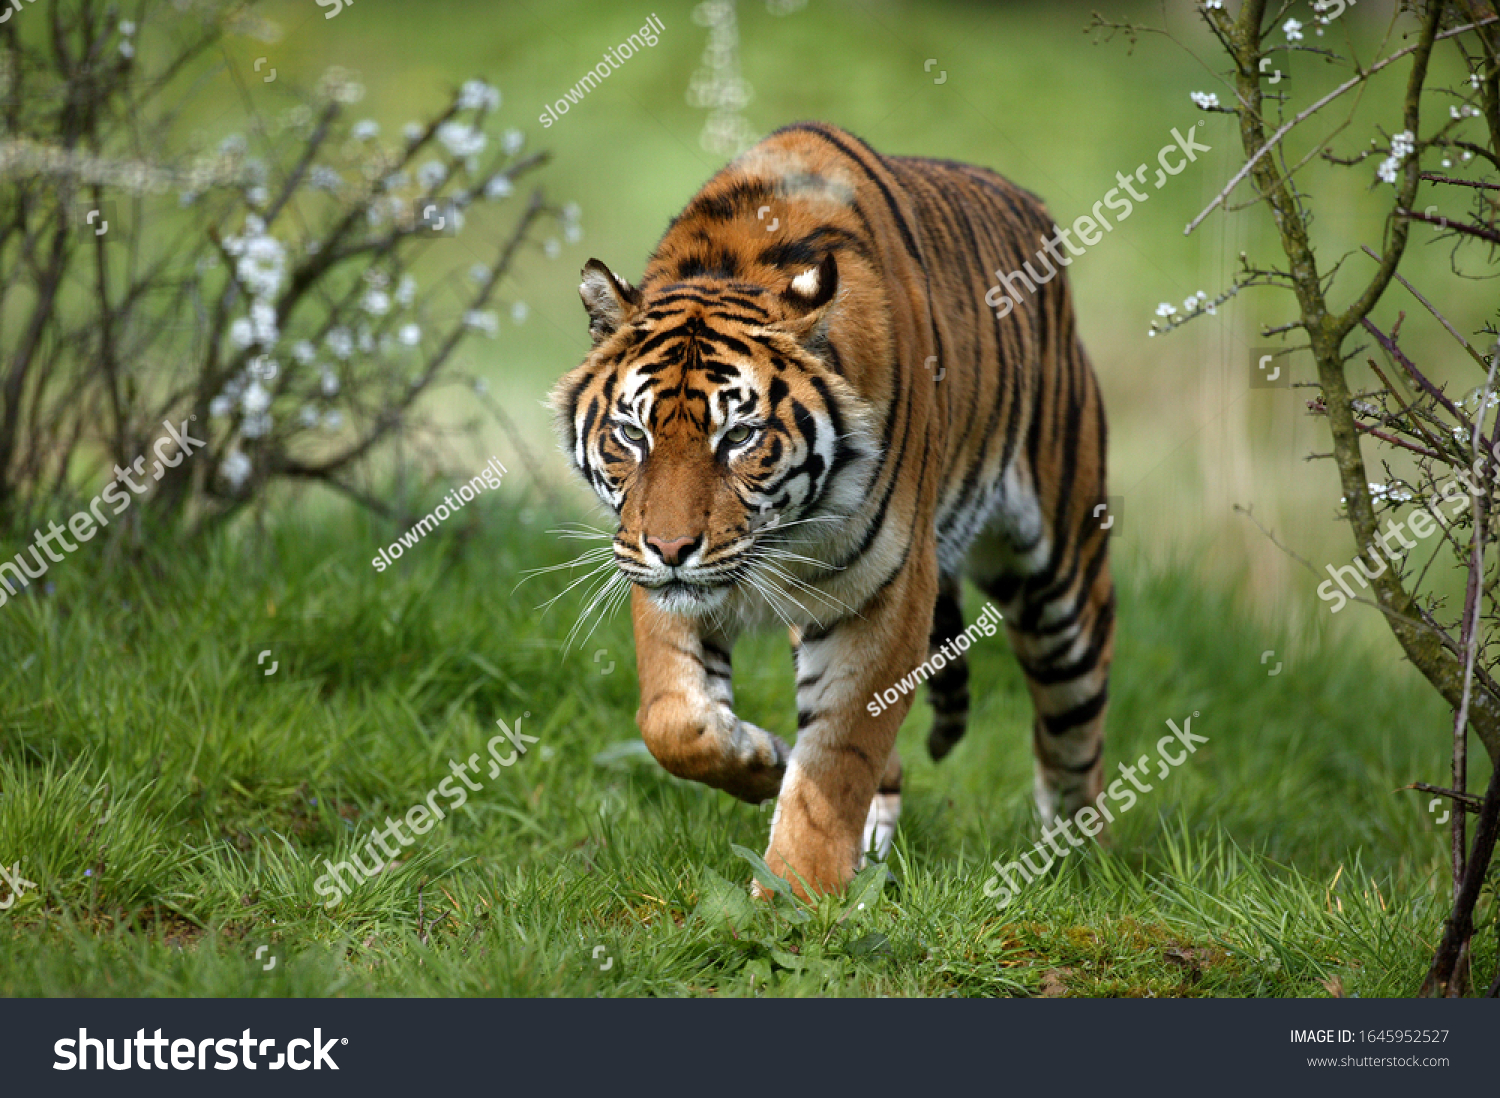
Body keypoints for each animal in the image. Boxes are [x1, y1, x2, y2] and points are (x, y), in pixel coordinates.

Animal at [550, 121, 1115, 898]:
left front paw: (796, 893)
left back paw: (1076, 867)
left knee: (1074, 735)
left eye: (740, 437)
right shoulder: (650, 570)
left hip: (1064, 580)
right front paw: (762, 763)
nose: (672, 550)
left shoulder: (887, 592)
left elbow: (837, 759)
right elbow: (673, 720)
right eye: (632, 435)